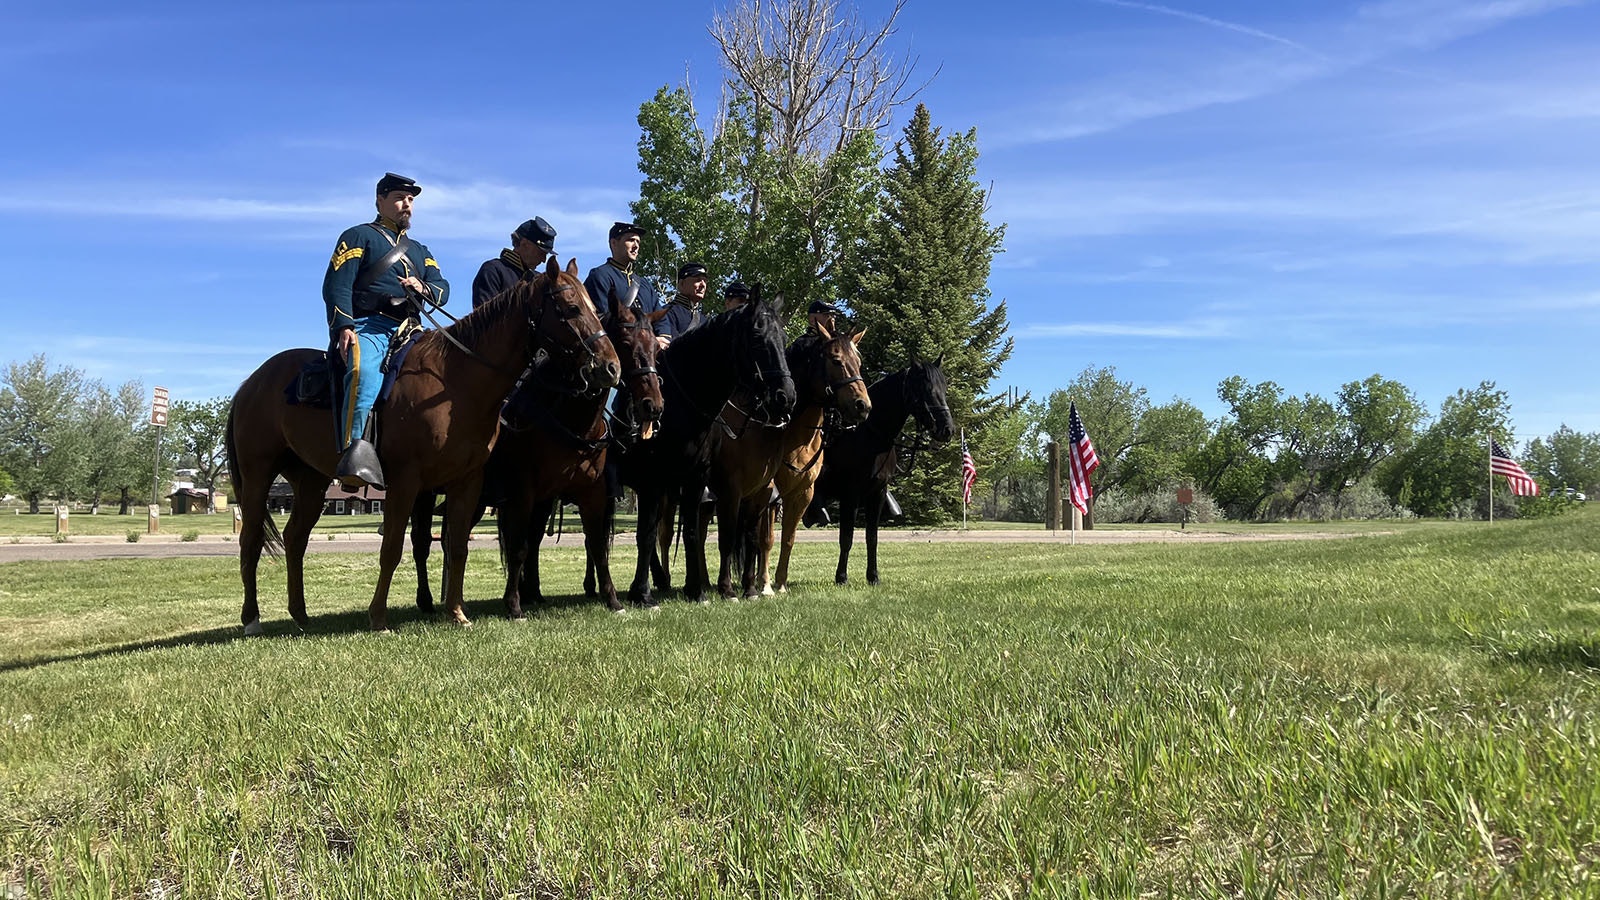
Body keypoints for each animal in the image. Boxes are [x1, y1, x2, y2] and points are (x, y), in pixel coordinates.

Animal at [225, 254, 617, 630]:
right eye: (571, 308)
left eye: (595, 309)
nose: (610, 367)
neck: (455, 382)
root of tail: (251, 383)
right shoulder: (406, 481)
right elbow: (393, 547)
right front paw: (378, 617)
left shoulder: (466, 482)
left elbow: (456, 547)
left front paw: (456, 613)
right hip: (258, 474)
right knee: (251, 541)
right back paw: (251, 618)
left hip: (311, 481)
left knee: (295, 539)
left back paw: (300, 615)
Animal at [611, 291, 793, 605]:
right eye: (758, 338)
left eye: (783, 338)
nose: (787, 396)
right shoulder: (661, 482)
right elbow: (651, 533)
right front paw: (645, 593)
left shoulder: (699, 481)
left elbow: (695, 534)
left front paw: (698, 591)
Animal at [704, 321, 870, 595]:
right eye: (836, 360)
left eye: (859, 361)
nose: (863, 406)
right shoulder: (769, 493)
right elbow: (766, 539)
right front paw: (765, 585)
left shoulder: (802, 492)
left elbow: (788, 538)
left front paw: (780, 583)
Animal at [806, 360, 953, 586]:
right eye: (925, 388)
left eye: (944, 388)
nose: (947, 429)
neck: (869, 435)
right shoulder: (850, 495)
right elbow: (846, 537)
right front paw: (841, 577)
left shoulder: (877, 493)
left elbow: (872, 538)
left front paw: (873, 576)